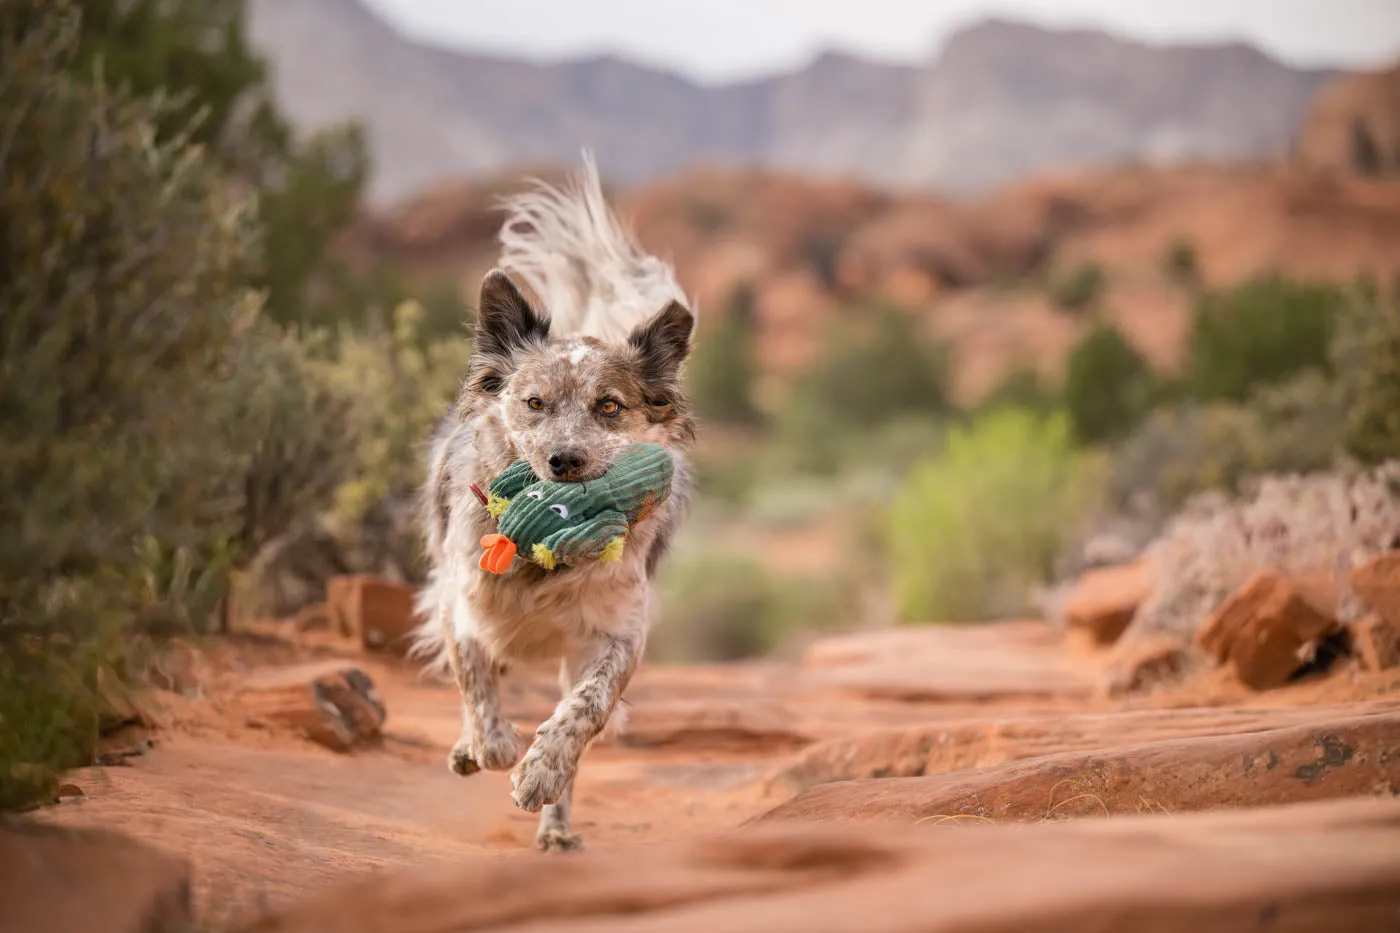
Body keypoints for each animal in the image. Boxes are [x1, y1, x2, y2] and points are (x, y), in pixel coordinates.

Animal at [414, 154, 700, 851]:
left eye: (610, 407)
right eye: (534, 402)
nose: (563, 462)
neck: (545, 558)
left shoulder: (618, 634)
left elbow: (584, 711)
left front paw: (542, 770)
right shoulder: (461, 604)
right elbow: (475, 683)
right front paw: (489, 747)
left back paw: (556, 826)